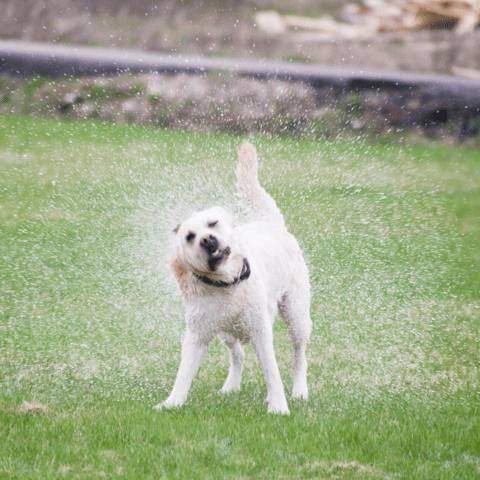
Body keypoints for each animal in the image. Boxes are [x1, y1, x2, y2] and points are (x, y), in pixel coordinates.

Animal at [154, 142, 312, 412]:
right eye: (190, 236)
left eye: (213, 223)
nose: (207, 240)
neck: (225, 284)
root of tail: (270, 223)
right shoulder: (197, 335)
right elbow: (183, 374)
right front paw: (171, 403)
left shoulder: (260, 329)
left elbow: (272, 371)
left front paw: (279, 407)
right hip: (226, 331)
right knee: (239, 354)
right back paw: (231, 387)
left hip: (296, 314)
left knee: (298, 355)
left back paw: (299, 390)